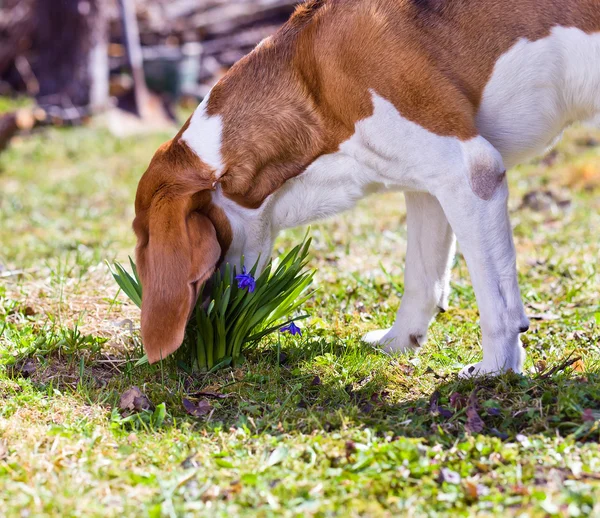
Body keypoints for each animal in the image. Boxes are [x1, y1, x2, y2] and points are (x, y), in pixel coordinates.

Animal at [134, 0, 600, 376]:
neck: (313, 84)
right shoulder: (430, 189)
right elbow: (422, 278)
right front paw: (399, 341)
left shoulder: (469, 172)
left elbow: (497, 304)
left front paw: (496, 370)